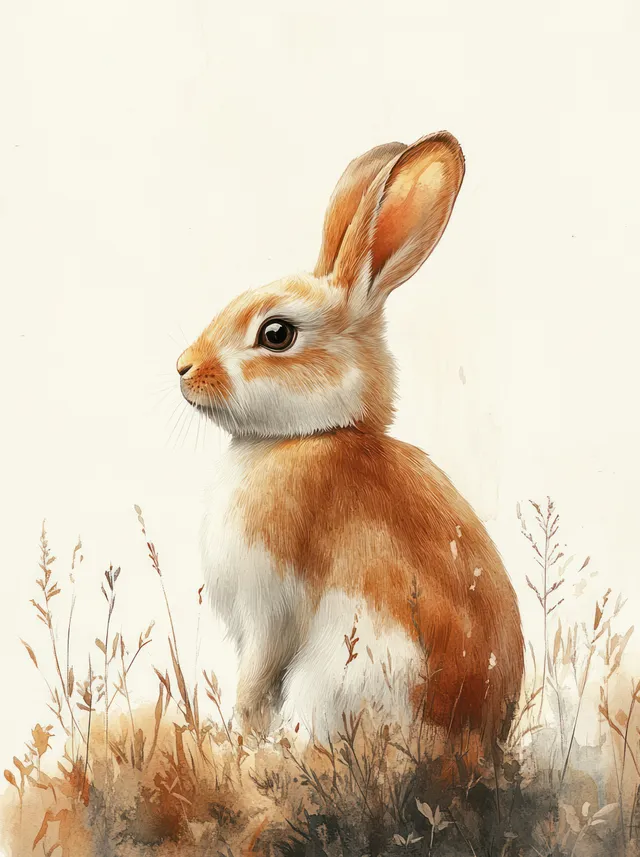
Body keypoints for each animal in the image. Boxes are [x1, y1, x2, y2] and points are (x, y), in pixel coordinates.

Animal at [176, 131, 524, 760]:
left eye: (276, 333)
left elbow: (255, 682)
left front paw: (239, 739)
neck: (310, 436)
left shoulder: (269, 608)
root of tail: (470, 750)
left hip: (344, 673)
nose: (183, 368)